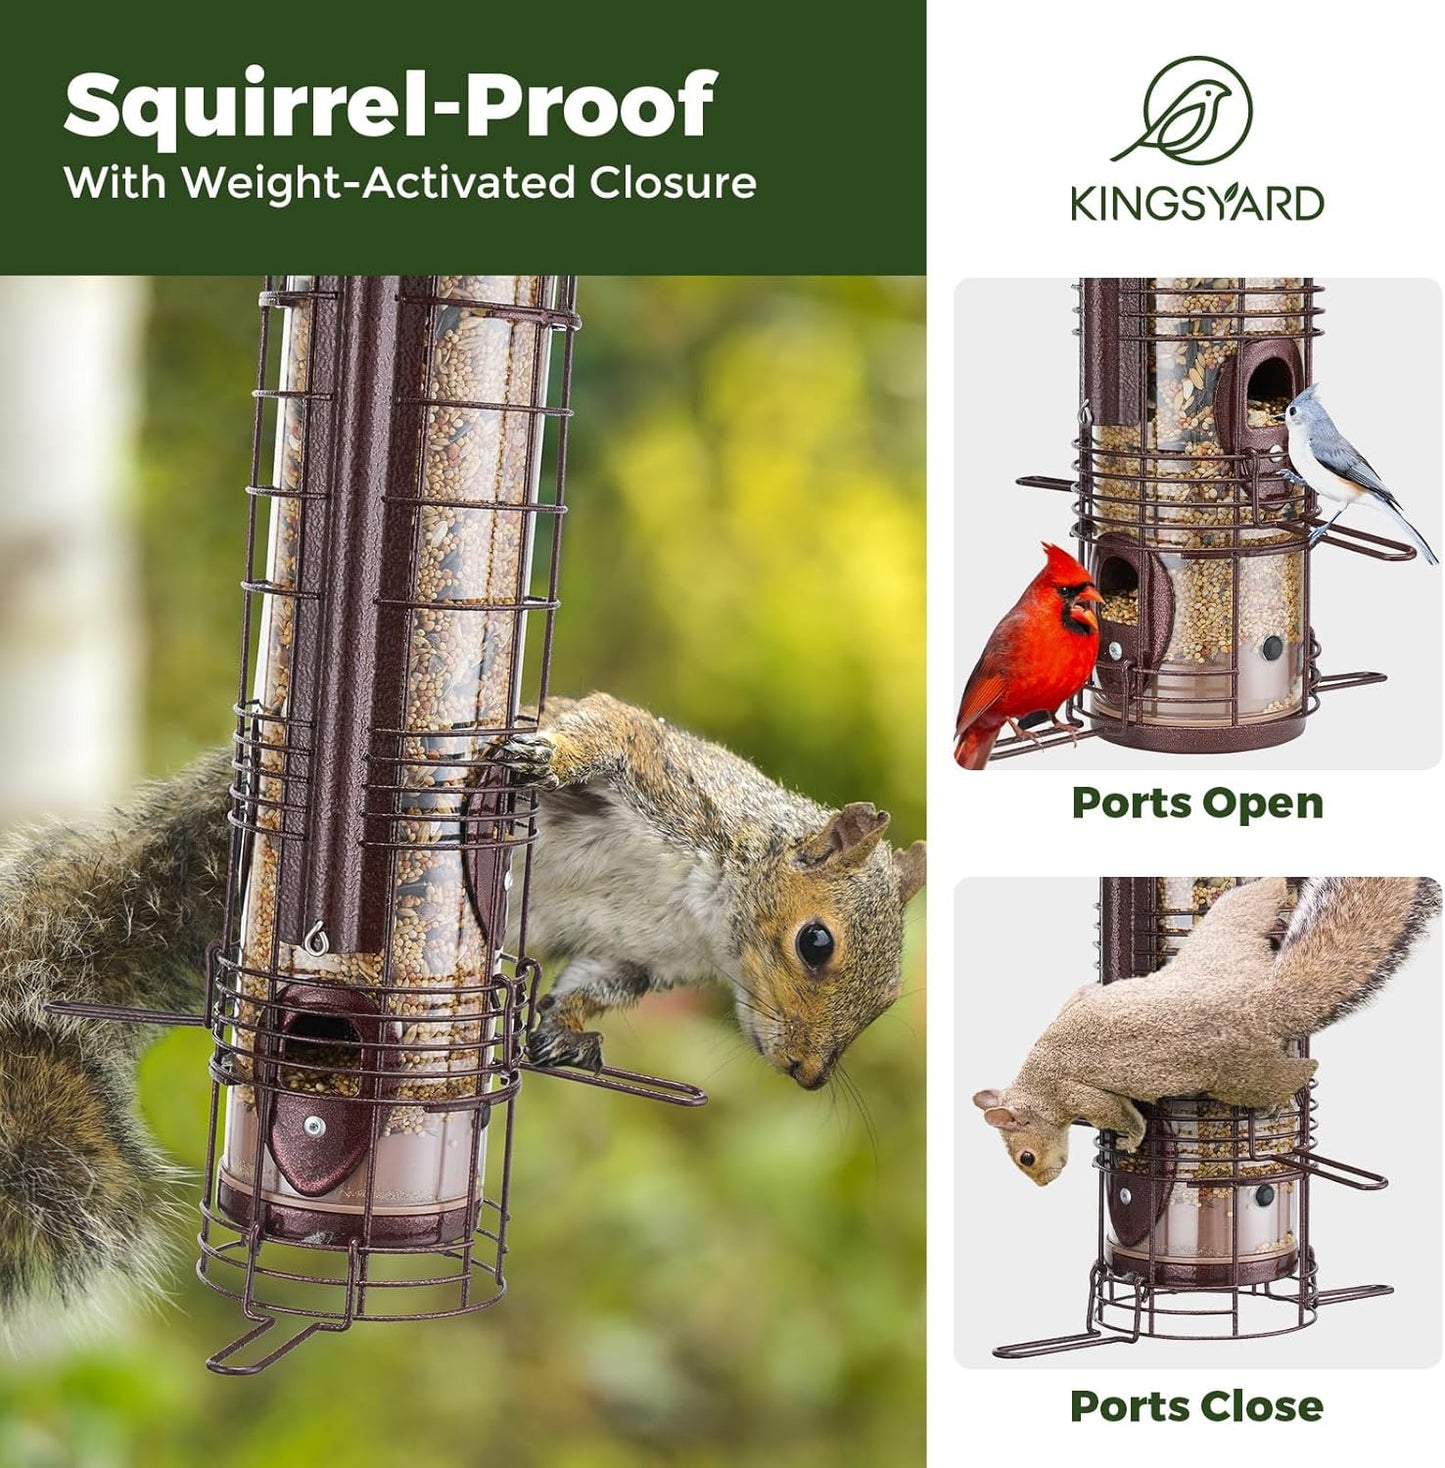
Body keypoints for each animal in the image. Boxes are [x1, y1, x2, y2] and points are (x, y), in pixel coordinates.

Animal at [0, 694, 924, 1324]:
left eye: (886, 999)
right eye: (816, 943)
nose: (805, 1074)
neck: (708, 920)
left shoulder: (636, 957)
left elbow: (590, 986)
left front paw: (566, 1036)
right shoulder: (671, 782)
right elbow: (608, 731)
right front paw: (541, 754)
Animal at [974, 876, 1439, 1188]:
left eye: (1026, 1157)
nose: (1044, 1183)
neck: (1037, 1083)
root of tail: (1259, 1005)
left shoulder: (1077, 1094)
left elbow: (1121, 1114)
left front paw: (1130, 1141)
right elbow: (1085, 992)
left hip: (1237, 1076)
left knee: (1291, 1073)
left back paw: (1294, 1085)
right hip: (1227, 937)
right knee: (1255, 900)